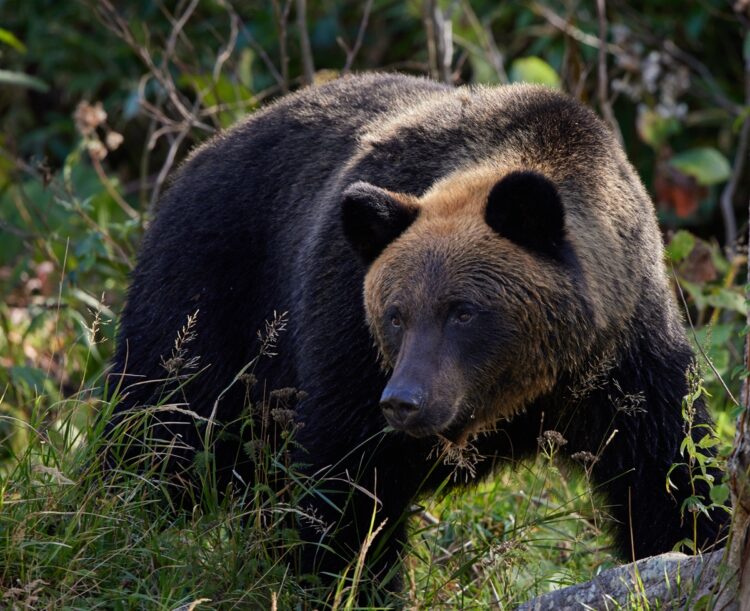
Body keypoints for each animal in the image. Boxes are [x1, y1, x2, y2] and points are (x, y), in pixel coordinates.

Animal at [108, 73, 732, 592]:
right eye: (395, 313)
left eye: (463, 311)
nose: (404, 401)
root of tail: (199, 153)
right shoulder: (348, 335)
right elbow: (349, 485)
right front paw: (350, 585)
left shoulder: (627, 357)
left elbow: (673, 475)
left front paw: (698, 546)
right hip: (213, 292)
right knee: (163, 424)